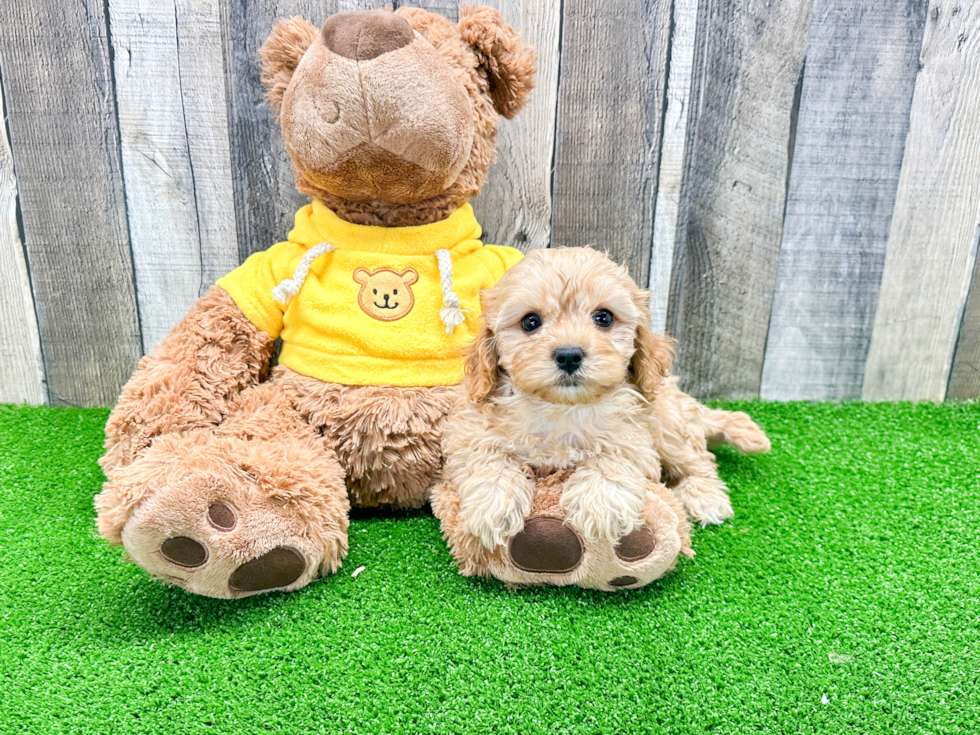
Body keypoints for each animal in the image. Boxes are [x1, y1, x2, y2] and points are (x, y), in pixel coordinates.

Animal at [444, 250, 772, 548]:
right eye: (530, 322)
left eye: (604, 317)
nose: (569, 355)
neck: (561, 408)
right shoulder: (471, 431)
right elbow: (487, 458)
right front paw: (493, 506)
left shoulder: (635, 436)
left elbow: (611, 456)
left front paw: (600, 505)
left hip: (668, 424)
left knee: (697, 459)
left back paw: (705, 497)